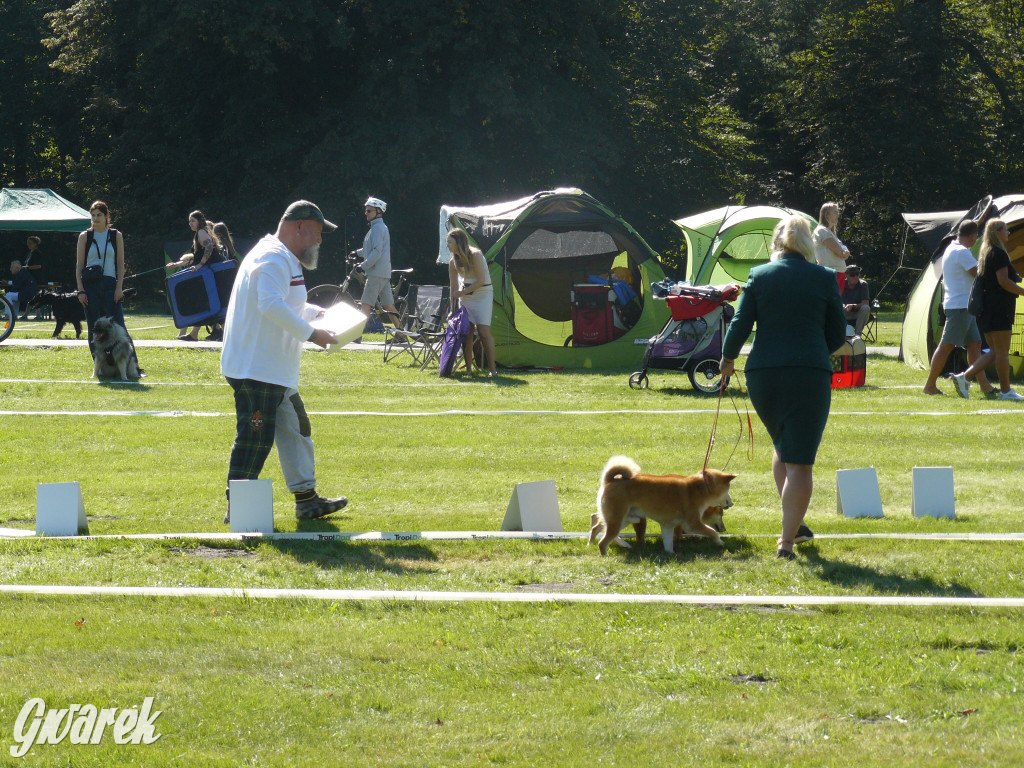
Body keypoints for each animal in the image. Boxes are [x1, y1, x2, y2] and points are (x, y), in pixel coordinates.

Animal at [593, 454, 737, 557]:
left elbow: (668, 543)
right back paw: (605, 555)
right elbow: (712, 532)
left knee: (604, 532)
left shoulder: (668, 525)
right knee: (603, 541)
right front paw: (720, 542)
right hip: (617, 520)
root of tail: (610, 481)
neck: (701, 489)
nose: (732, 503)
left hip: (627, 519)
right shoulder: (692, 523)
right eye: (728, 489)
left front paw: (671, 554)